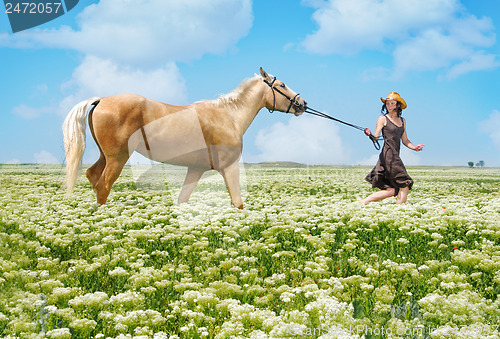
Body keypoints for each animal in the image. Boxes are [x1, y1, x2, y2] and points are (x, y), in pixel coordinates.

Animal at [61, 67, 304, 209]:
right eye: (282, 85)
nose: (302, 104)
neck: (228, 116)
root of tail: (101, 100)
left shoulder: (195, 169)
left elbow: (182, 200)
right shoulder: (230, 167)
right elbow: (238, 203)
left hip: (106, 156)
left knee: (92, 176)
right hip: (117, 158)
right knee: (103, 185)